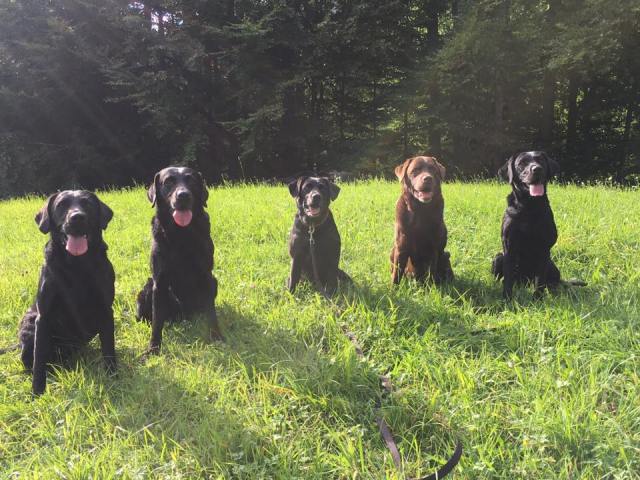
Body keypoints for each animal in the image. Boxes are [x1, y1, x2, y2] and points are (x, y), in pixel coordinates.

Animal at [18, 190, 116, 395]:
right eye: (62, 205)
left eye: (87, 204)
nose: (77, 217)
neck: (76, 264)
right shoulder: (43, 317)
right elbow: (39, 359)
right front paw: (37, 391)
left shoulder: (105, 310)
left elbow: (109, 348)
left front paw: (113, 377)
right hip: (29, 324)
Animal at [136, 166, 222, 354]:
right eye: (168, 181)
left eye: (191, 180)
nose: (183, 195)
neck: (181, 234)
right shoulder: (159, 282)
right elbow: (157, 322)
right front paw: (153, 348)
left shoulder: (206, 276)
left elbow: (211, 313)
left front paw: (217, 337)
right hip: (147, 288)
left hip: (214, 281)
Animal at [390, 156, 454, 284]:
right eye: (415, 170)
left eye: (433, 170)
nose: (428, 178)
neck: (419, 209)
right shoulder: (401, 247)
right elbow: (396, 275)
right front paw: (392, 289)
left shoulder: (433, 248)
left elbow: (431, 273)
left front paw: (432, 288)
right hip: (393, 251)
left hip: (445, 255)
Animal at [491, 151, 584, 299]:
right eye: (521, 163)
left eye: (541, 161)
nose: (537, 169)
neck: (530, 207)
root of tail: (524, 283)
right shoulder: (509, 247)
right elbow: (508, 279)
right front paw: (507, 299)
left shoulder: (544, 249)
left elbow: (539, 280)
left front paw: (537, 300)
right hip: (498, 257)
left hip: (551, 265)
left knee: (553, 282)